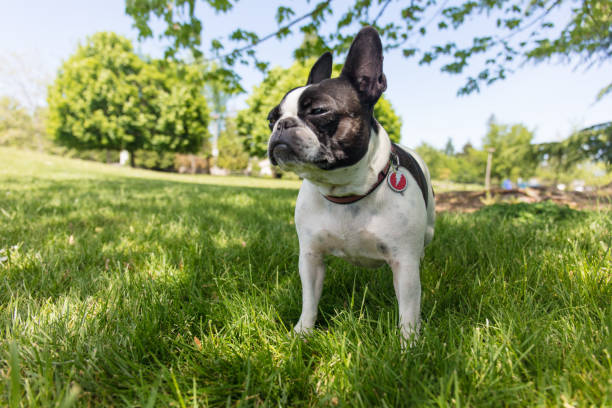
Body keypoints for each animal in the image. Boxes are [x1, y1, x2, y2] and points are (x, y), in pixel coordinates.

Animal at [266, 26, 436, 344]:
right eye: (271, 119)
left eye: (319, 111)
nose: (281, 125)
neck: (345, 192)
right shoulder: (310, 257)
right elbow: (309, 300)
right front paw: (303, 332)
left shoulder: (404, 264)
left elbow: (408, 311)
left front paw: (409, 346)